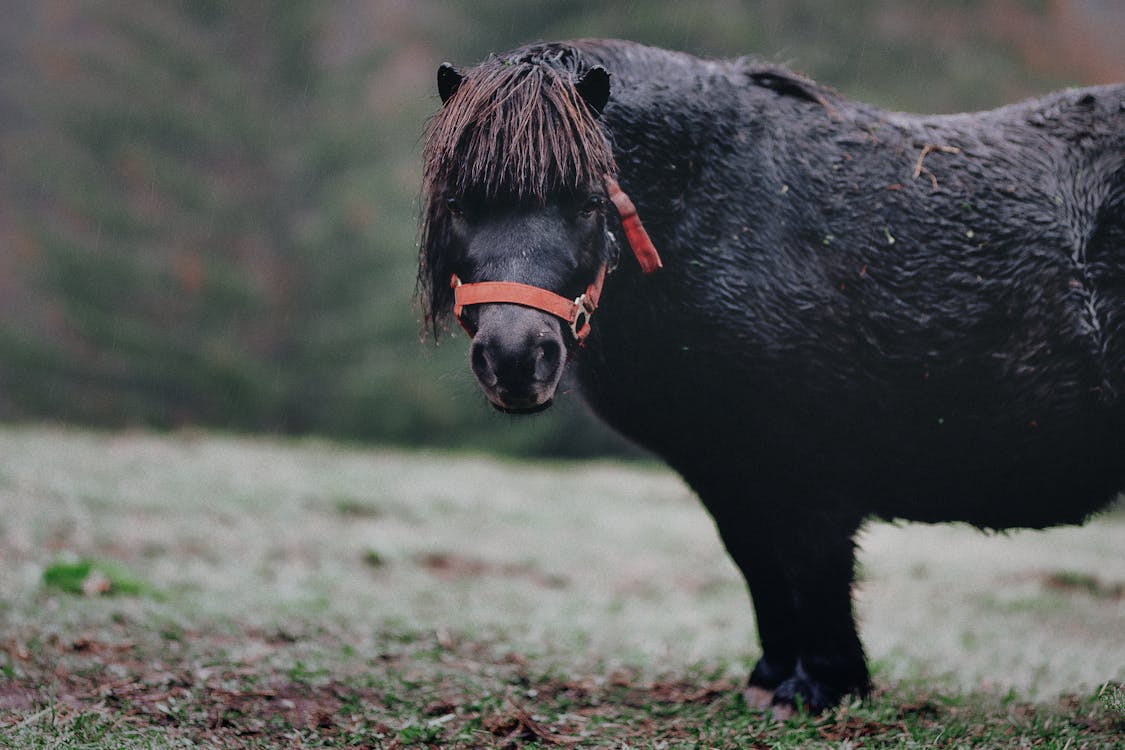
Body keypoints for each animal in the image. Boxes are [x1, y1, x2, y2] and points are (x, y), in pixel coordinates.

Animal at [420, 41, 1125, 715]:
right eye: (457, 202)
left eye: (590, 202)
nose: (516, 358)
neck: (723, 212)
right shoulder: (730, 471)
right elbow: (760, 566)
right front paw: (772, 681)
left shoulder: (813, 473)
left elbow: (814, 569)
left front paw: (822, 688)